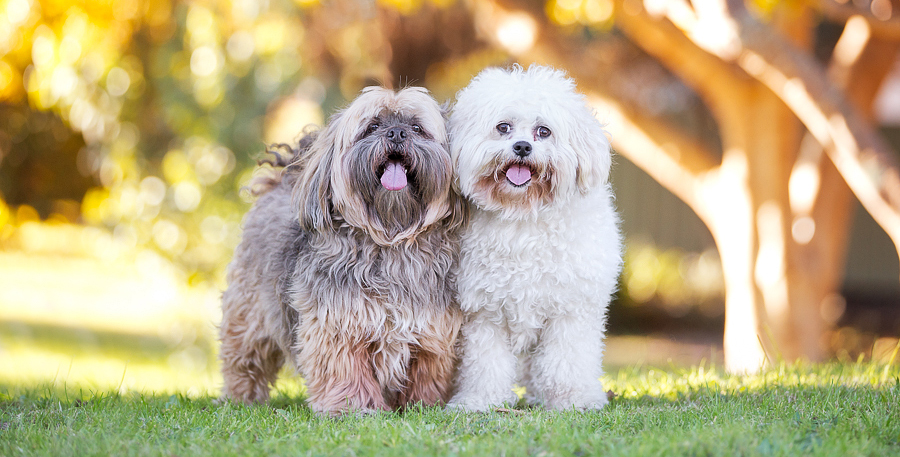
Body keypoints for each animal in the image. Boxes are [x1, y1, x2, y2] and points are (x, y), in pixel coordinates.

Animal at [221, 87, 468, 416]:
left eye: (417, 128)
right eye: (372, 127)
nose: (397, 133)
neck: (390, 244)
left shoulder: (433, 332)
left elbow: (427, 374)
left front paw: (423, 405)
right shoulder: (337, 327)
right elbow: (346, 372)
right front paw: (352, 407)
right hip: (250, 316)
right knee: (244, 360)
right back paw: (240, 398)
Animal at [448, 64, 624, 410]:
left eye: (544, 131)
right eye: (503, 127)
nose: (522, 147)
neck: (523, 216)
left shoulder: (571, 310)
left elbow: (566, 360)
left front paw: (573, 399)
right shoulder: (483, 313)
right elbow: (485, 364)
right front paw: (480, 400)